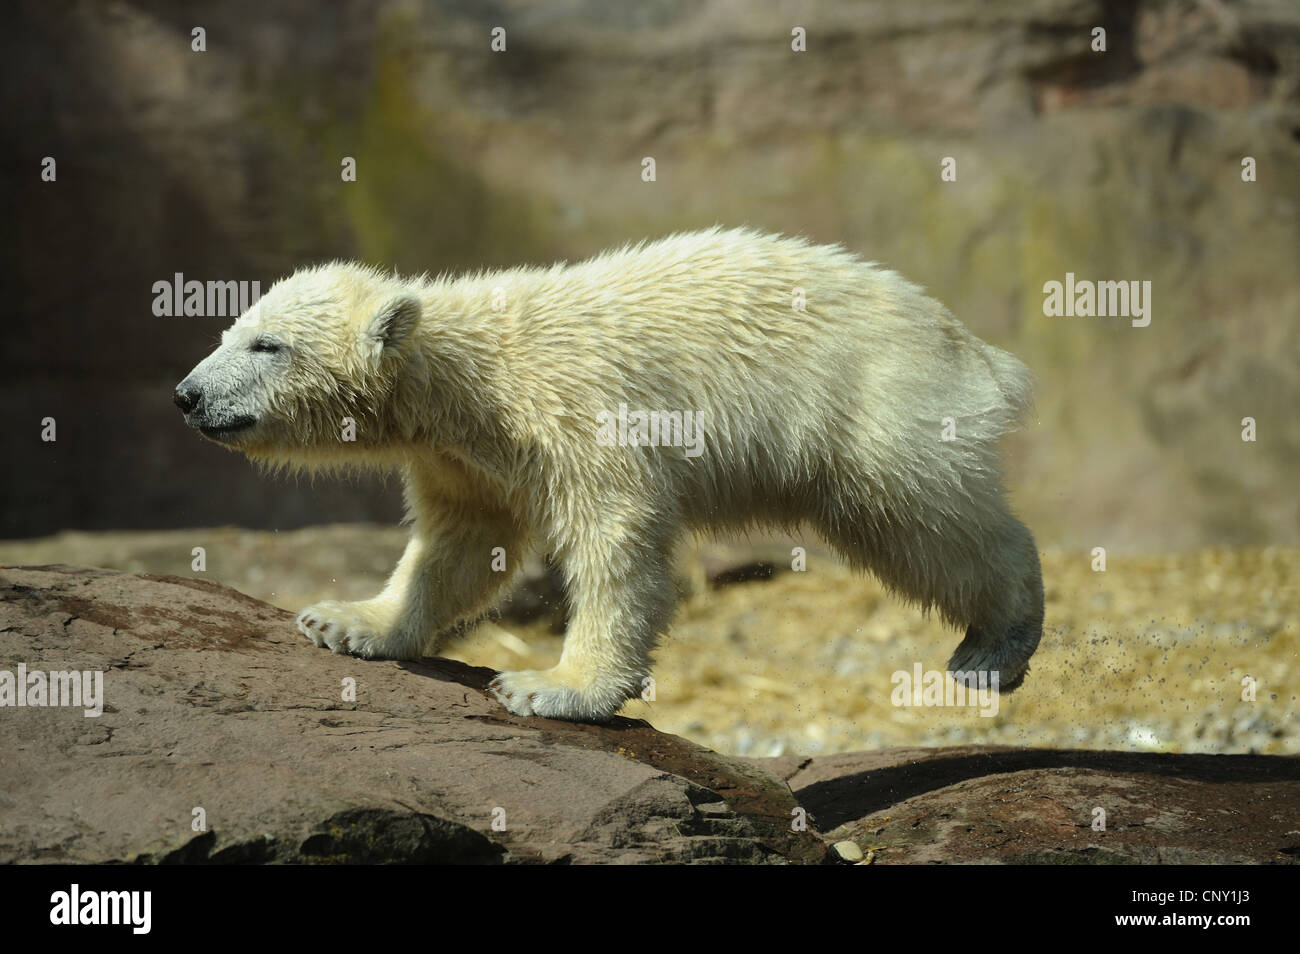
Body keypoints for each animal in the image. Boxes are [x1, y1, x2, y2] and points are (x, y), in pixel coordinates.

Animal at [175, 230, 1045, 722]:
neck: (475, 375)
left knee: (924, 520)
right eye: (228, 330)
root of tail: (979, 351)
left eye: (267, 345)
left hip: (874, 405)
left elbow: (615, 541)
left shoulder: (578, 411)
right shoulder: (465, 458)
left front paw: (553, 687)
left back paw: (995, 644)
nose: (188, 395)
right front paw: (349, 620)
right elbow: (458, 547)